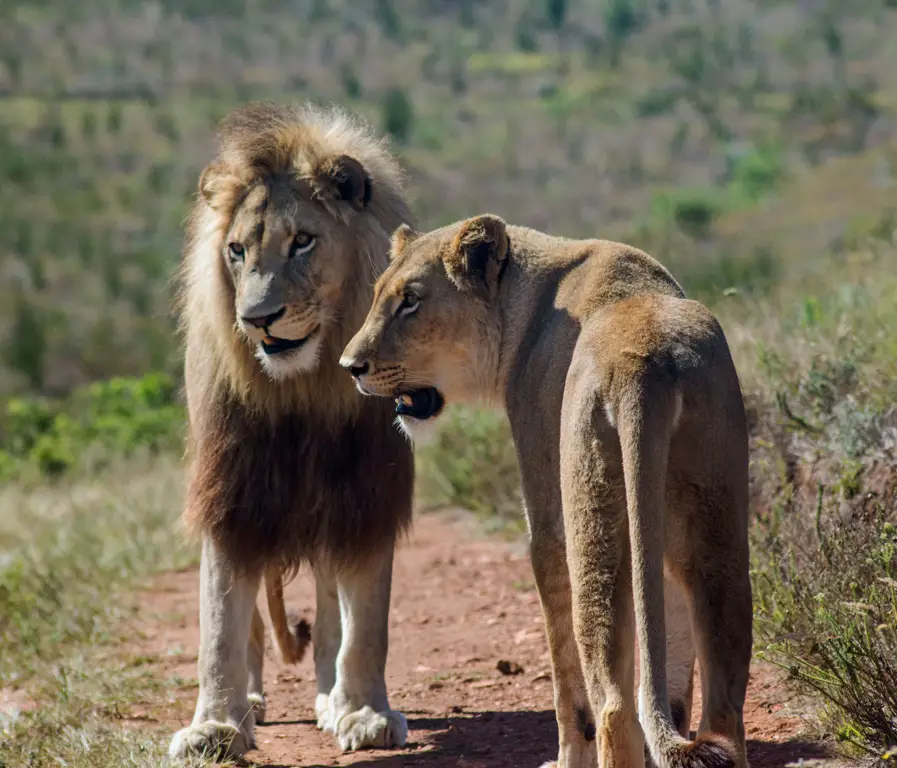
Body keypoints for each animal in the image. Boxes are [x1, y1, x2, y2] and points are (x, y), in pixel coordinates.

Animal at [168, 103, 412, 760]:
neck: (305, 386)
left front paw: (364, 714)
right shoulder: (234, 491)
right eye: (235, 251)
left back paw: (330, 697)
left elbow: (366, 623)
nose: (257, 319)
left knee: (330, 609)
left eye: (302, 241)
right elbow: (220, 623)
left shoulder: (366, 491)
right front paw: (214, 727)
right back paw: (251, 702)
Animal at [340, 216, 752, 768]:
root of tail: (647, 360)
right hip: (716, 530)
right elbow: (674, 679)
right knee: (723, 706)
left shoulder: (547, 524)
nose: (350, 366)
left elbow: (567, 686)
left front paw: (565, 758)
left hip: (592, 525)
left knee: (614, 707)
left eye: (410, 300)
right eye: (379, 295)